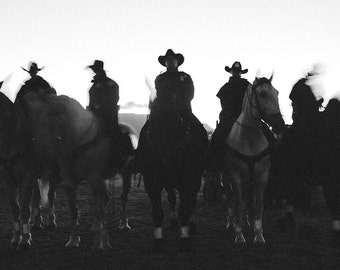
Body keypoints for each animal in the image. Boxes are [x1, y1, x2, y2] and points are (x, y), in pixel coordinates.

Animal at [138, 92, 207, 254]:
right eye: (154, 115)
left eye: (176, 117)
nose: (164, 159)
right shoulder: (152, 183)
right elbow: (157, 212)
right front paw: (158, 240)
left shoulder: (189, 182)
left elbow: (185, 208)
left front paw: (184, 239)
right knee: (172, 198)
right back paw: (174, 220)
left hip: (195, 181)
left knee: (192, 201)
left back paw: (191, 223)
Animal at [223, 76, 286, 245]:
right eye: (263, 94)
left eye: (277, 93)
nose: (280, 125)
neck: (249, 139)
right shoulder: (235, 176)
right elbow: (238, 203)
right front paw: (239, 235)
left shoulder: (262, 175)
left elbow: (258, 204)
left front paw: (258, 234)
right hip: (226, 177)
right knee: (230, 198)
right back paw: (231, 223)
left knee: (245, 198)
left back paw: (246, 222)